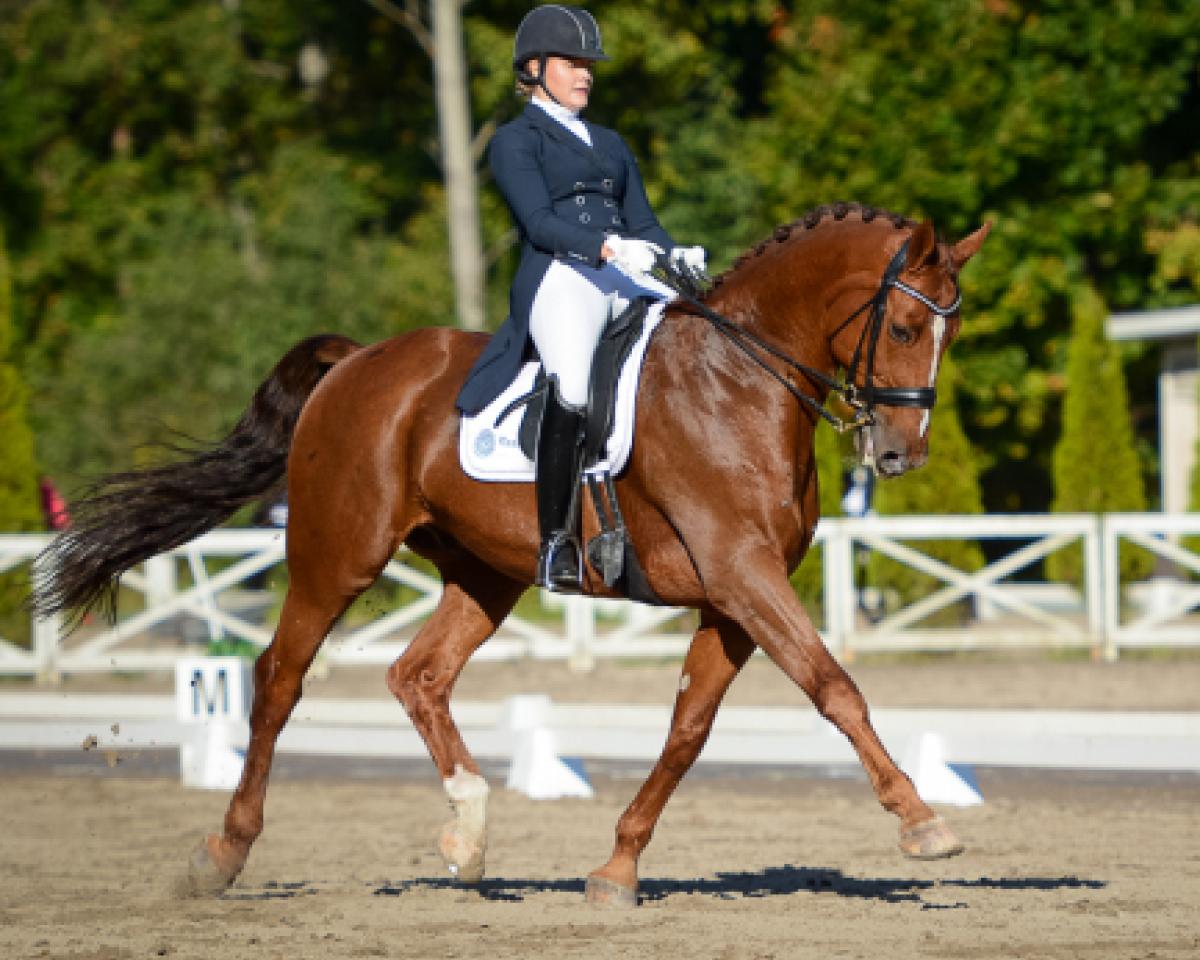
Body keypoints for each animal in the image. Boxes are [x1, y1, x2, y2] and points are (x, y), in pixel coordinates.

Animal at [35, 202, 990, 907]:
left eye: (950, 335)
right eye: (907, 327)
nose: (901, 455)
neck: (739, 383)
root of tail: (357, 363)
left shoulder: (734, 597)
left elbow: (688, 730)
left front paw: (616, 868)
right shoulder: (742, 576)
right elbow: (835, 685)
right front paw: (922, 821)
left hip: (485, 574)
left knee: (418, 676)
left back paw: (468, 834)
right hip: (337, 556)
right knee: (278, 679)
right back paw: (224, 854)